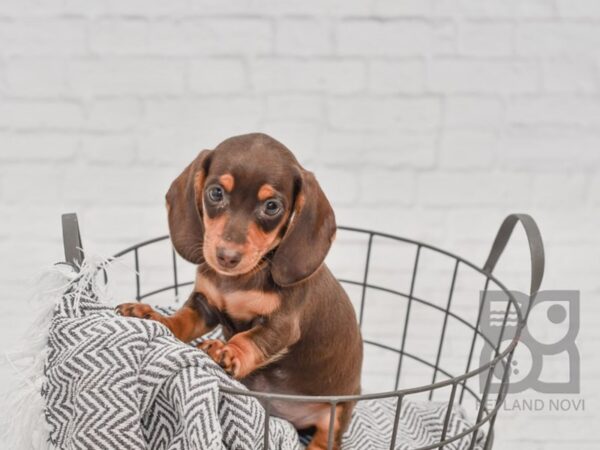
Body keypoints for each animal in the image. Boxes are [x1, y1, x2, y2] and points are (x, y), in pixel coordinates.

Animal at [116, 132, 360, 448]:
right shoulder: (205, 305)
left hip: (337, 410)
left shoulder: (281, 324)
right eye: (216, 193)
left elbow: (250, 339)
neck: (239, 280)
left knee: (326, 436)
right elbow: (182, 320)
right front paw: (154, 317)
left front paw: (226, 351)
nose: (226, 257)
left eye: (272, 206)